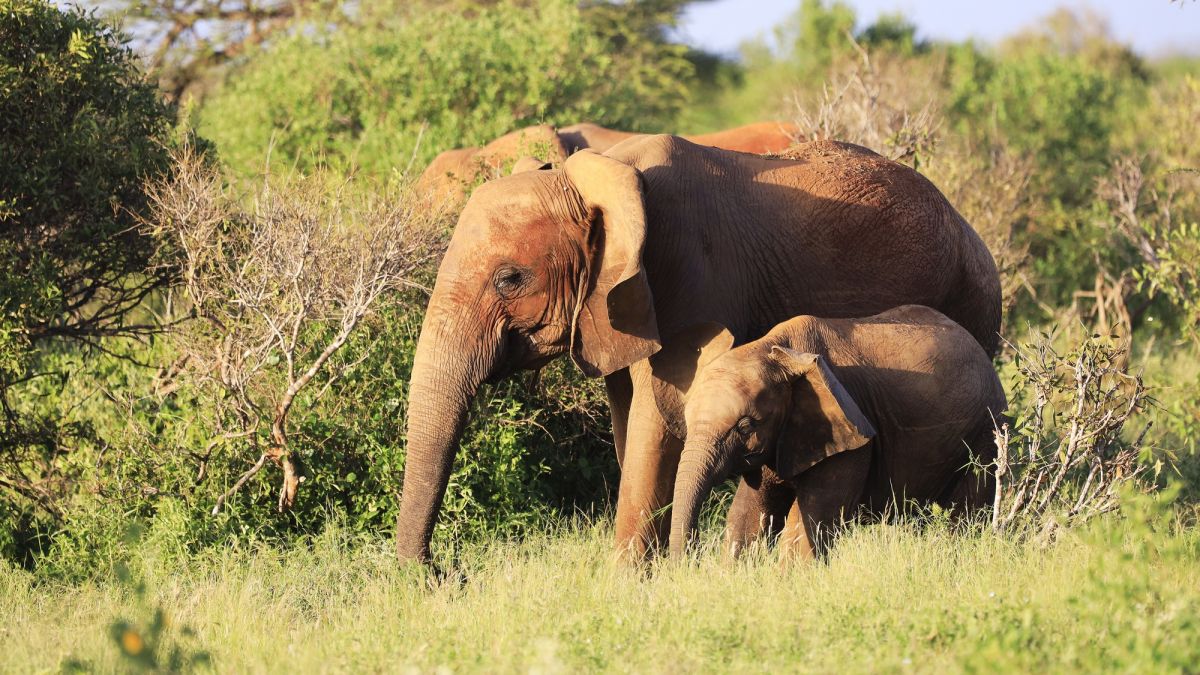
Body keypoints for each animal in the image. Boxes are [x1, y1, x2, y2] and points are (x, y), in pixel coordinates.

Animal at [652, 303, 1008, 557]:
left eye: (745, 425)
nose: (688, 560)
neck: (773, 349)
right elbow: (749, 516)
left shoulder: (852, 433)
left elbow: (808, 523)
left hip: (986, 433)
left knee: (967, 514)